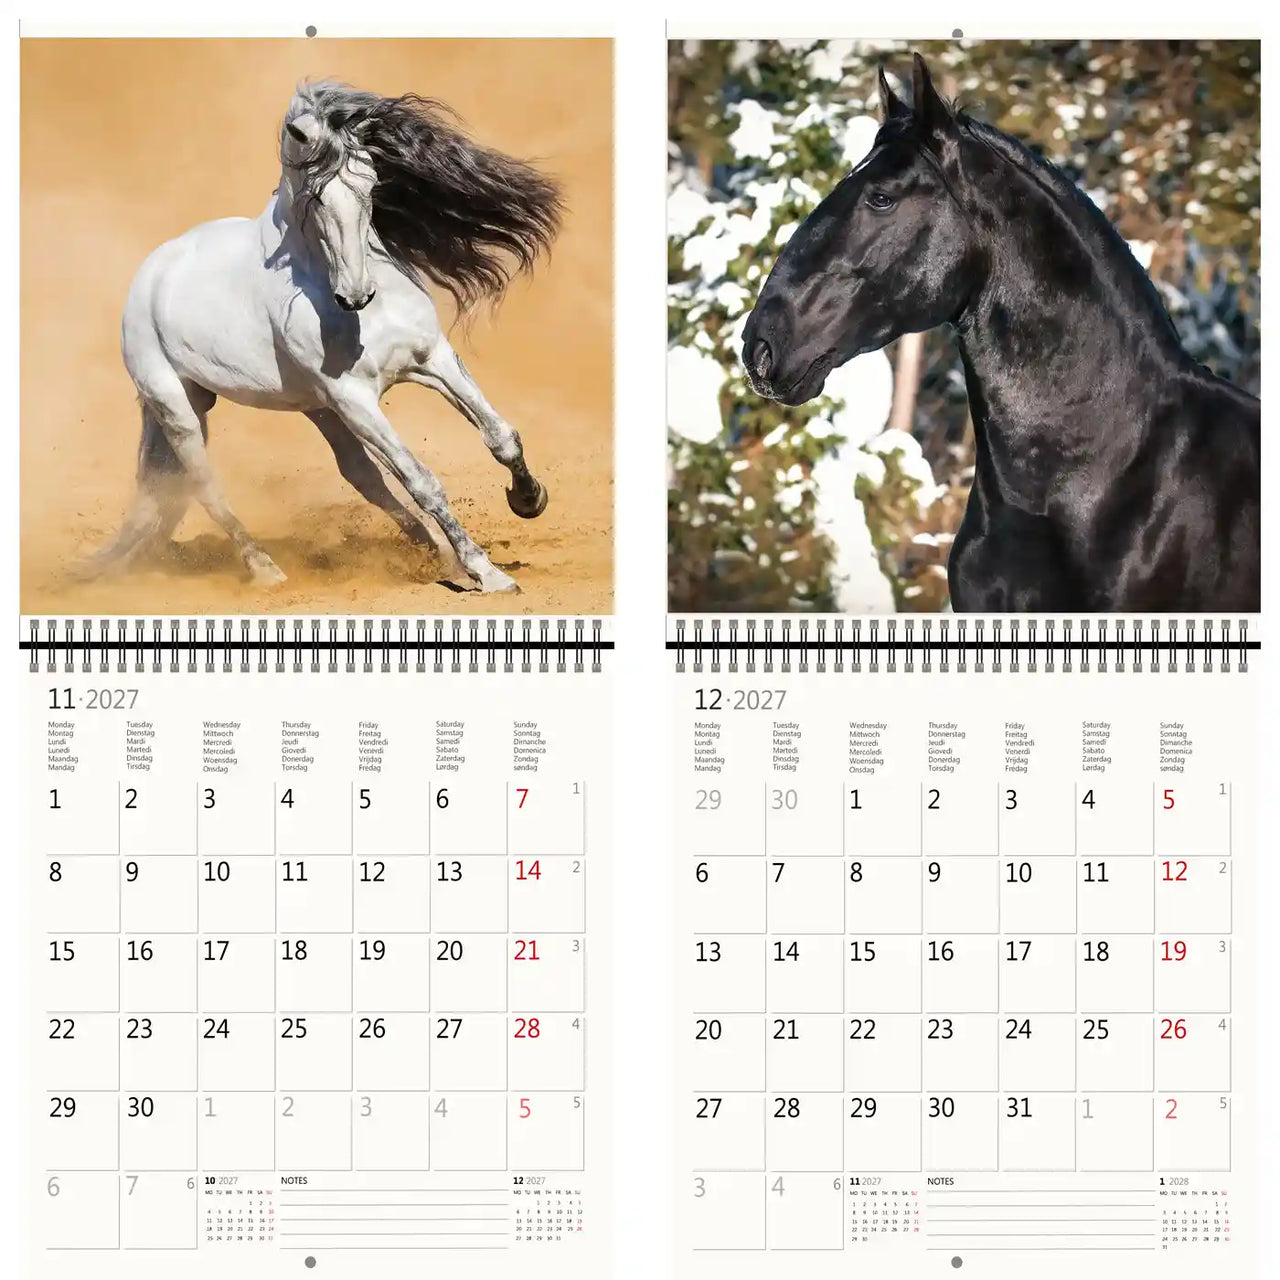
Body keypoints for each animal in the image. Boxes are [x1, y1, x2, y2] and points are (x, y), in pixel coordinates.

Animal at [85, 80, 563, 594]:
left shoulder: (431, 359)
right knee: (204, 486)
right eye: (314, 198)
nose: (355, 295)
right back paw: (266, 569)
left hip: (315, 409)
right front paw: (487, 572)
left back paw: (436, 553)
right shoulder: (354, 398)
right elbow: (422, 481)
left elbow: (501, 437)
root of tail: (150, 274)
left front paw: (528, 498)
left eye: (372, 183)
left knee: (362, 477)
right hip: (180, 409)